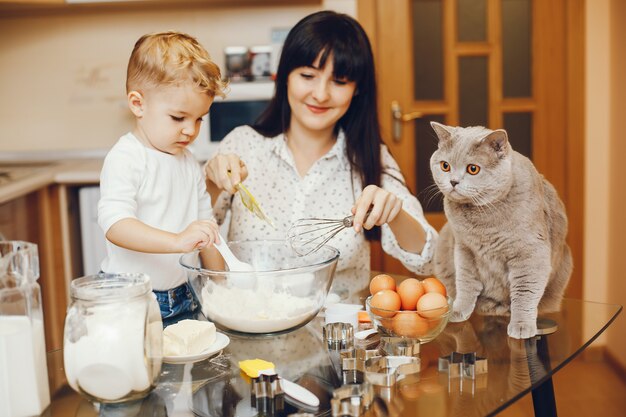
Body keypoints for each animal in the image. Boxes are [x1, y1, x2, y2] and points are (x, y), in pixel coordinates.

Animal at [428, 121, 572, 338]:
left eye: (472, 169)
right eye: (445, 166)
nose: (453, 181)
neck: (482, 220)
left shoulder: (530, 253)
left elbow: (525, 290)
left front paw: (521, 325)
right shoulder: (464, 248)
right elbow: (465, 281)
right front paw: (459, 310)